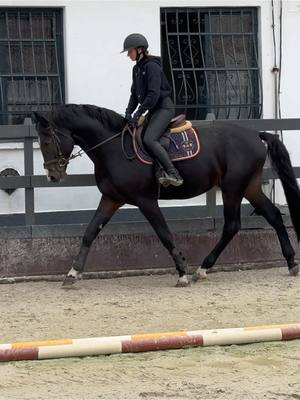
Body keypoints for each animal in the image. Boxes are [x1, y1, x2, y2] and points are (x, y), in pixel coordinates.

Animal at [31, 104, 298, 288]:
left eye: (47, 141)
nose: (53, 176)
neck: (114, 148)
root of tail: (255, 135)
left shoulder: (145, 200)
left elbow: (164, 234)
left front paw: (182, 273)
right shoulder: (111, 198)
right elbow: (90, 231)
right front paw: (72, 274)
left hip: (233, 188)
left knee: (232, 225)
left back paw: (202, 268)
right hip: (249, 186)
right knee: (274, 216)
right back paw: (291, 262)